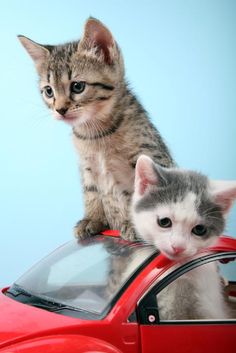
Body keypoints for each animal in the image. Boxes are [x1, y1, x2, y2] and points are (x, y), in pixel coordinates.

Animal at [18, 17, 174, 241]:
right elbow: (91, 192)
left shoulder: (149, 156)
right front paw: (93, 219)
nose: (60, 109)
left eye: (77, 86)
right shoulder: (87, 166)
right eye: (49, 91)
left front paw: (136, 225)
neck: (95, 133)